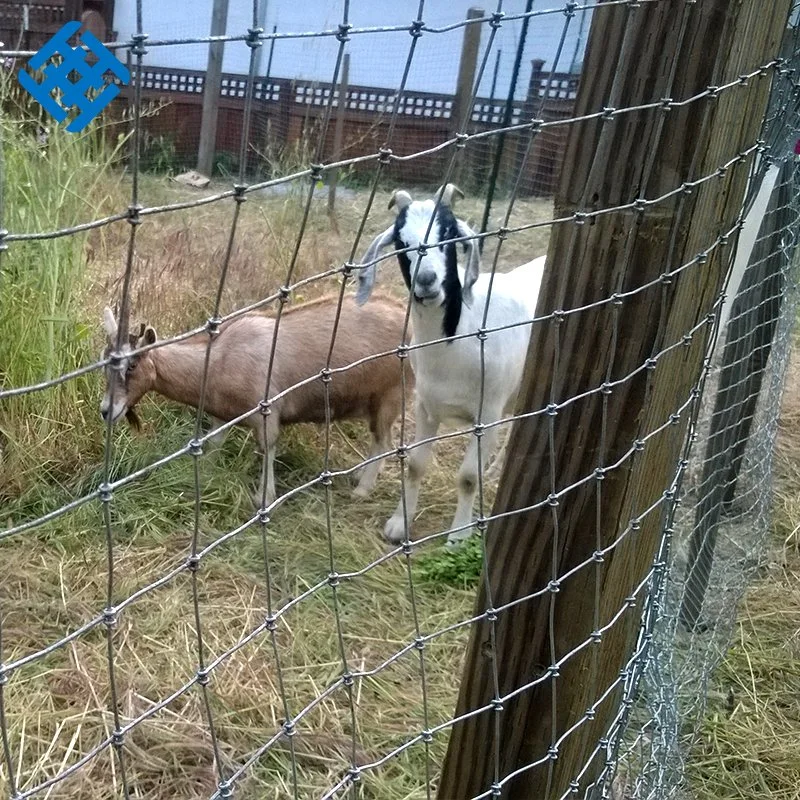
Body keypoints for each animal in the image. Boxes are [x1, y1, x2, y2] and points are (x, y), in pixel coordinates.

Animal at [100, 294, 412, 506]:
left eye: (132, 365)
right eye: (104, 364)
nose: (106, 410)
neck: (219, 358)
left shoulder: (267, 413)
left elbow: (268, 449)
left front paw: (264, 497)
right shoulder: (220, 416)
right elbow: (214, 445)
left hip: (390, 395)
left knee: (384, 440)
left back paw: (362, 489)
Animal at [356, 184, 544, 548]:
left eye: (449, 233)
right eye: (401, 241)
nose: (427, 280)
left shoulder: (487, 414)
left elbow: (468, 477)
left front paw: (459, 535)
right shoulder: (425, 405)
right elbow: (415, 465)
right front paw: (398, 525)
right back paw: (496, 470)